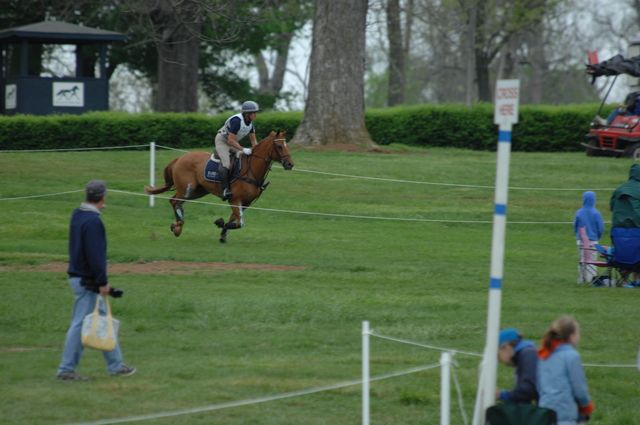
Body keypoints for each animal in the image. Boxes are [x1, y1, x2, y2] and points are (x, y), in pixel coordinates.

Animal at [146, 129, 294, 242]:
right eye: (279, 146)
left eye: (287, 145)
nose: (290, 164)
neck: (251, 170)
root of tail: (179, 158)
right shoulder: (234, 199)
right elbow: (239, 223)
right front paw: (220, 223)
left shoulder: (245, 203)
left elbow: (235, 220)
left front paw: (223, 233)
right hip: (187, 188)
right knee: (175, 200)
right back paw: (178, 226)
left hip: (198, 191)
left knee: (177, 202)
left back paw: (177, 225)